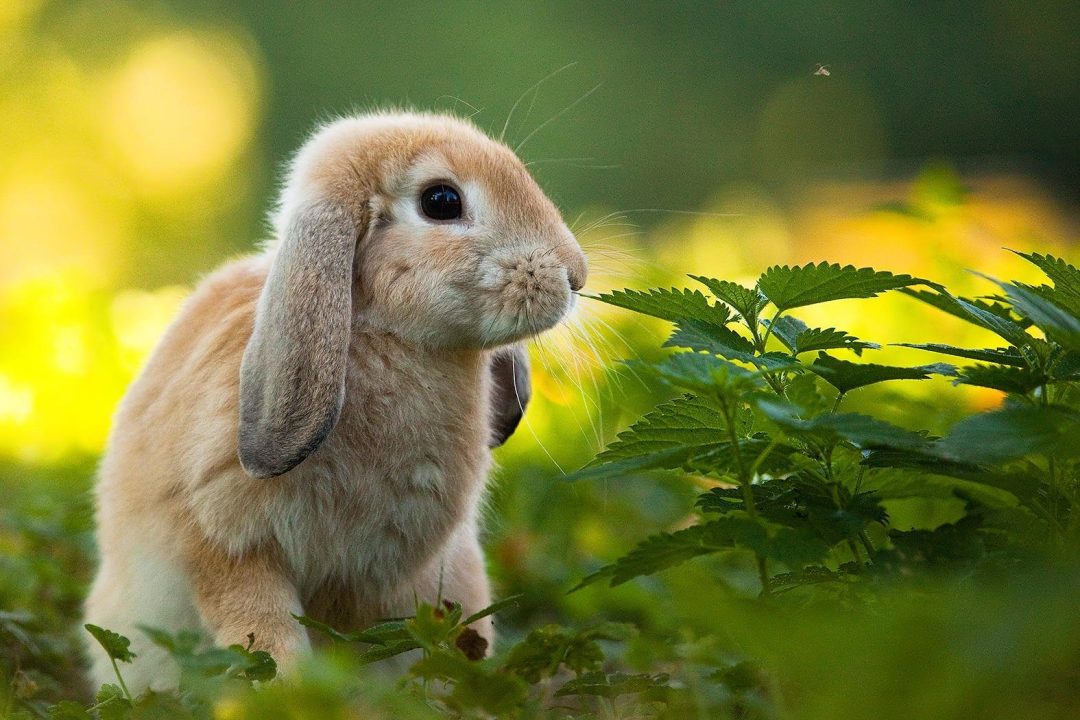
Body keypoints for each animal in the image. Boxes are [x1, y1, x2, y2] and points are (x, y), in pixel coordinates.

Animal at [82, 110, 587, 693]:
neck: (383, 334)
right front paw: (290, 688)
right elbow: (260, 627)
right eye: (441, 201)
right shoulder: (225, 543)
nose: (576, 275)